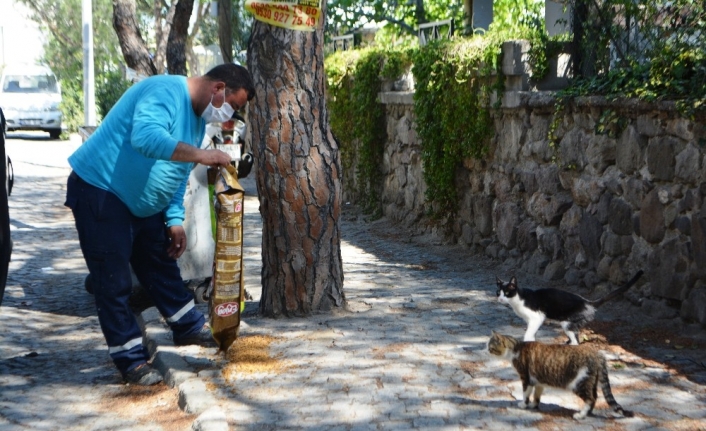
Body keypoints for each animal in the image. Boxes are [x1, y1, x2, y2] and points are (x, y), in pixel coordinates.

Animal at [484, 332, 632, 420]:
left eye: (490, 348)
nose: (486, 351)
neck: (516, 348)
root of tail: (597, 354)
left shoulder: (526, 378)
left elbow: (526, 394)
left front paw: (523, 405)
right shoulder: (538, 381)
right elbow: (536, 395)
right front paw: (534, 405)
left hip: (579, 383)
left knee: (590, 398)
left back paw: (580, 415)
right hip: (590, 382)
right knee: (595, 397)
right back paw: (587, 413)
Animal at [496, 272, 644, 346]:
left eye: (507, 293)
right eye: (498, 293)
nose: (500, 299)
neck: (518, 299)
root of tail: (588, 302)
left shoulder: (537, 317)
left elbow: (528, 333)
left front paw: (526, 342)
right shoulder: (530, 321)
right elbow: (531, 333)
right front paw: (531, 341)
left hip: (567, 322)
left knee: (576, 342)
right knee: (575, 337)